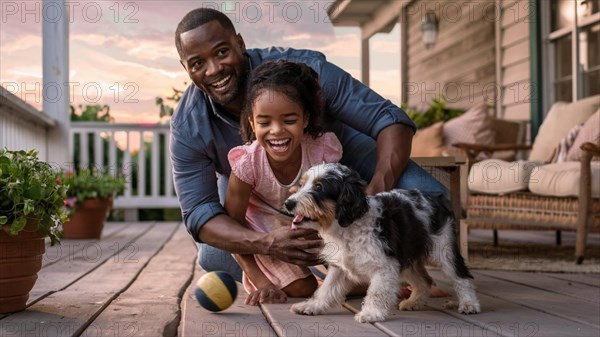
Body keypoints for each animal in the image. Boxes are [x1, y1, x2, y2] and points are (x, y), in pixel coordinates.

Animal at [284, 163, 480, 322]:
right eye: (301, 184)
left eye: (318, 187)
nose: (288, 203)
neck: (348, 226)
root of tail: (437, 199)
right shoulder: (340, 267)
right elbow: (326, 289)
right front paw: (311, 306)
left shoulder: (384, 266)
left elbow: (376, 292)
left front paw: (371, 313)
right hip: (406, 259)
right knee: (425, 281)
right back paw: (414, 302)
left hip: (443, 250)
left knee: (462, 277)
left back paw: (469, 304)